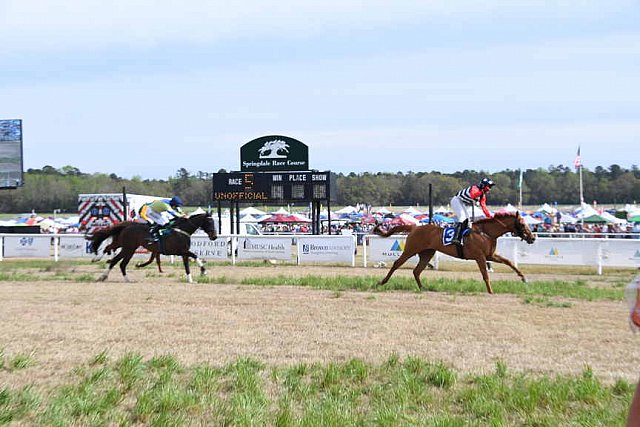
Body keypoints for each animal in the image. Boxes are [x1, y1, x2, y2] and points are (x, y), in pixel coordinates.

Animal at [85, 212, 218, 282]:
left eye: (214, 222)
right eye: (209, 222)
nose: (214, 236)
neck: (181, 230)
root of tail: (127, 226)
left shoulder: (183, 252)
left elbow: (188, 266)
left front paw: (191, 280)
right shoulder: (180, 251)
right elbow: (195, 256)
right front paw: (203, 271)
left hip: (127, 248)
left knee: (118, 261)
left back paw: (115, 277)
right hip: (128, 248)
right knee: (116, 260)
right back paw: (105, 272)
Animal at [372, 213, 536, 296]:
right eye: (522, 224)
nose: (532, 238)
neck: (485, 232)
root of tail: (414, 227)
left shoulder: (490, 256)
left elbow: (509, 262)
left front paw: (523, 278)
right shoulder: (480, 257)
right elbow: (485, 275)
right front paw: (490, 291)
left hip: (427, 253)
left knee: (417, 271)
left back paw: (423, 288)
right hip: (410, 250)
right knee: (397, 264)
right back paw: (381, 282)